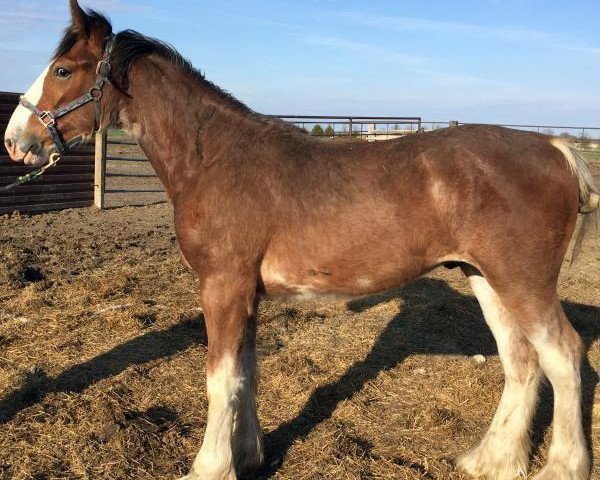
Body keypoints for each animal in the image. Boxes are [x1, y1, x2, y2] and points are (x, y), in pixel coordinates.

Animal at [4, 1, 600, 478]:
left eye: (62, 69)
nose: (15, 140)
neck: (215, 159)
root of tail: (554, 149)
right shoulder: (244, 293)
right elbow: (245, 375)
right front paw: (247, 457)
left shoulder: (221, 287)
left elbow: (220, 380)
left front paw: (209, 468)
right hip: (487, 280)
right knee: (521, 362)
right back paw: (491, 461)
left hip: (523, 282)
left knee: (564, 356)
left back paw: (561, 467)